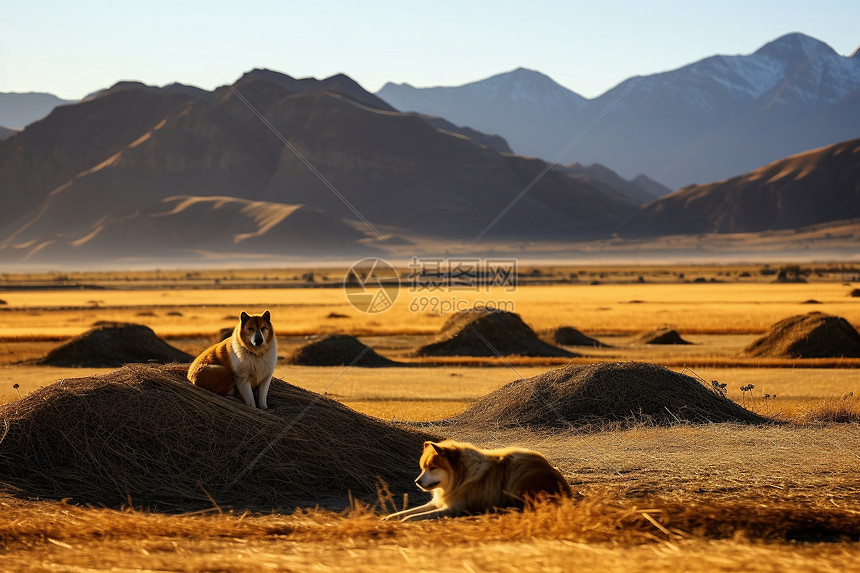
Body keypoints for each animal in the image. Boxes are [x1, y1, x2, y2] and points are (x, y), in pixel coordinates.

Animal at [382, 440, 572, 520]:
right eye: (423, 468)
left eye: (433, 468)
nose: (417, 482)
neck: (461, 476)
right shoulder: (437, 502)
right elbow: (410, 511)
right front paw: (390, 517)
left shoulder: (454, 508)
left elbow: (417, 516)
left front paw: (405, 520)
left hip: (519, 473)